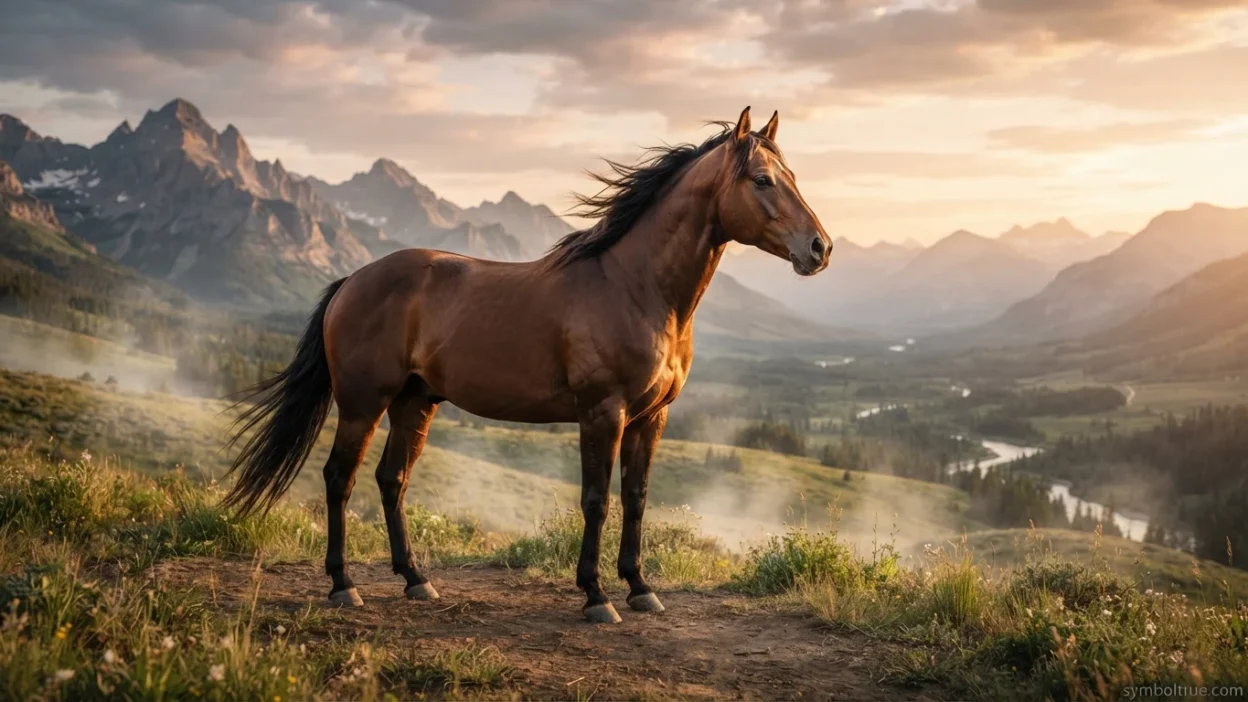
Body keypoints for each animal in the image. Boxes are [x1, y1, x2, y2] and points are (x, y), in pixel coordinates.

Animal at [223, 106, 831, 623]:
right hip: (361, 404)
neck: (636, 288)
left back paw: (416, 580)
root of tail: (353, 279)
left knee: (391, 479)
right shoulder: (603, 413)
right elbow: (596, 501)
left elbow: (636, 498)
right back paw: (342, 585)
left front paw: (640, 588)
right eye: (761, 180)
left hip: (414, 403)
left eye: (793, 175)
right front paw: (595, 596)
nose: (819, 248)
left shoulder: (650, 417)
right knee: (339, 478)